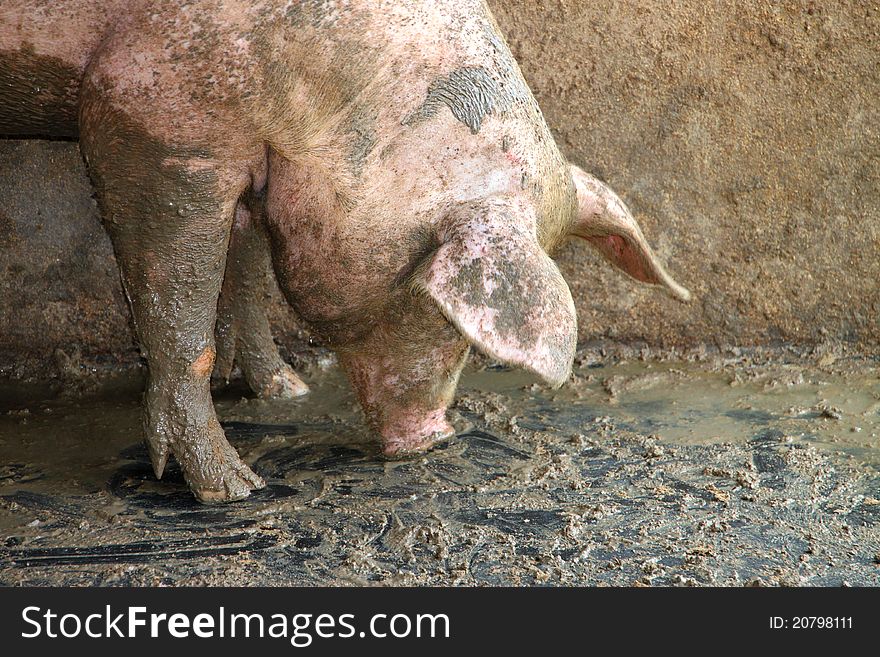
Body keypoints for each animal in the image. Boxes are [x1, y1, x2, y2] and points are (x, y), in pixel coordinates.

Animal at [0, 0, 692, 502]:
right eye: (444, 310)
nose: (436, 436)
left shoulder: (259, 165)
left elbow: (245, 269)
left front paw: (288, 392)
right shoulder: (148, 112)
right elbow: (180, 308)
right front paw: (235, 491)